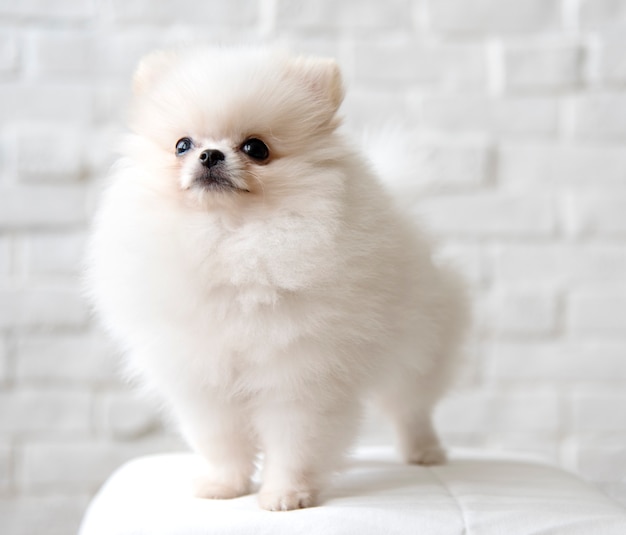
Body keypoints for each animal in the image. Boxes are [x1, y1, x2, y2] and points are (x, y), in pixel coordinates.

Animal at [86, 45, 468, 510]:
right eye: (182, 145)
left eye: (256, 148)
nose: (209, 155)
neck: (230, 238)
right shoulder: (205, 379)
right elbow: (222, 442)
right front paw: (224, 486)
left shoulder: (300, 375)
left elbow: (294, 443)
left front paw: (286, 494)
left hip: (417, 351)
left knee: (411, 408)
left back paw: (424, 451)